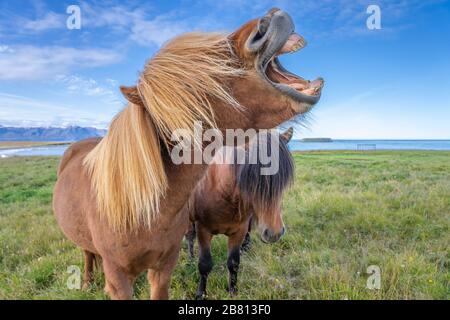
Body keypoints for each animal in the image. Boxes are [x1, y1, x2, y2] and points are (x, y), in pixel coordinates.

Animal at [186, 127, 296, 298]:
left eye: (283, 181)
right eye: (253, 179)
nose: (274, 233)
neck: (222, 191)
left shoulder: (239, 231)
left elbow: (234, 263)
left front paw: (233, 291)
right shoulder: (203, 229)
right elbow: (204, 264)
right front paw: (201, 293)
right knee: (190, 238)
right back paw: (190, 259)